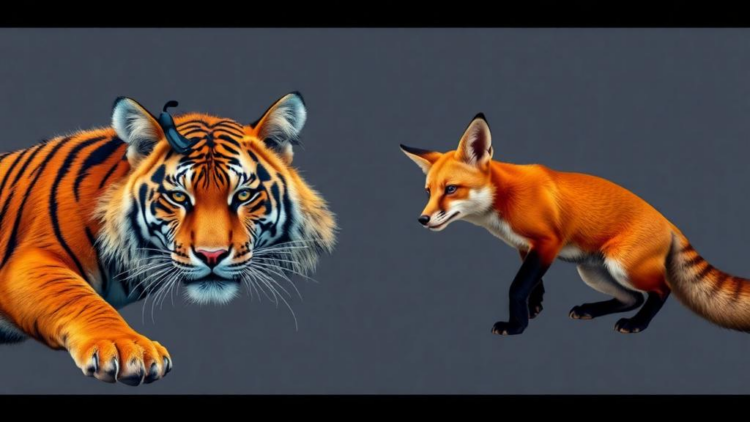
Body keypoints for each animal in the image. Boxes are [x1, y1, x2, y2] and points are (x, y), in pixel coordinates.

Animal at [0, 92, 337, 386]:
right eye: (178, 197)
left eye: (243, 195)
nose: (212, 255)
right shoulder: (31, 261)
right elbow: (78, 297)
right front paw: (127, 348)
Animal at [400, 113, 750, 336]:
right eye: (429, 192)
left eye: (451, 189)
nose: (422, 219)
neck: (504, 200)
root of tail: (670, 222)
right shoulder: (526, 248)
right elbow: (532, 285)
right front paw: (534, 308)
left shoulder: (547, 243)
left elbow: (516, 288)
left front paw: (516, 326)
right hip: (593, 271)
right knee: (632, 298)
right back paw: (591, 310)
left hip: (623, 265)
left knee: (660, 291)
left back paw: (636, 324)